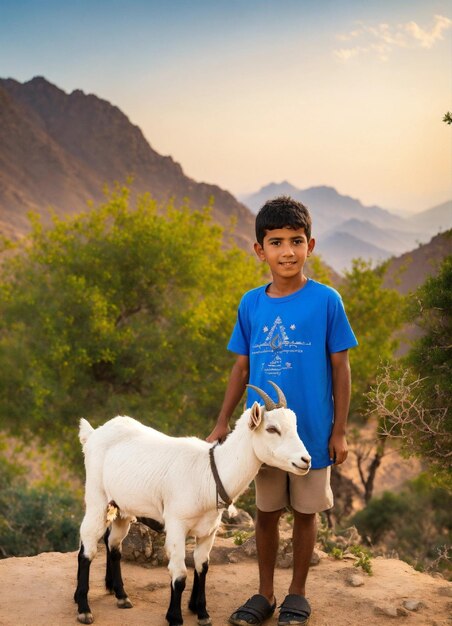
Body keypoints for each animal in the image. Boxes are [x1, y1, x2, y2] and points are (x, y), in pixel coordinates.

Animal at [74, 380, 312, 624]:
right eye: (272, 429)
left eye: (294, 425)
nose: (306, 460)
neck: (209, 472)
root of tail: (94, 434)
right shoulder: (176, 525)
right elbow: (179, 574)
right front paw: (175, 617)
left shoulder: (209, 530)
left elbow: (202, 566)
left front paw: (202, 612)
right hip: (96, 498)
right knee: (87, 548)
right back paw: (84, 608)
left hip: (123, 508)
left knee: (113, 545)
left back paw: (120, 595)